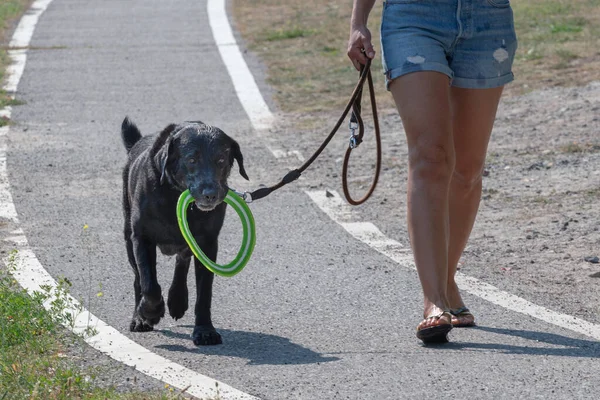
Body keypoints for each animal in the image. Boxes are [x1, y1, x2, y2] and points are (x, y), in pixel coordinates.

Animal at [120, 117, 247, 346]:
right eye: (192, 159)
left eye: (221, 159)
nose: (210, 194)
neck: (173, 195)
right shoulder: (142, 238)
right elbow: (149, 283)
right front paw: (150, 313)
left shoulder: (207, 244)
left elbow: (204, 292)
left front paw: (205, 330)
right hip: (128, 238)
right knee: (138, 278)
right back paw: (139, 318)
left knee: (182, 262)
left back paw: (177, 300)